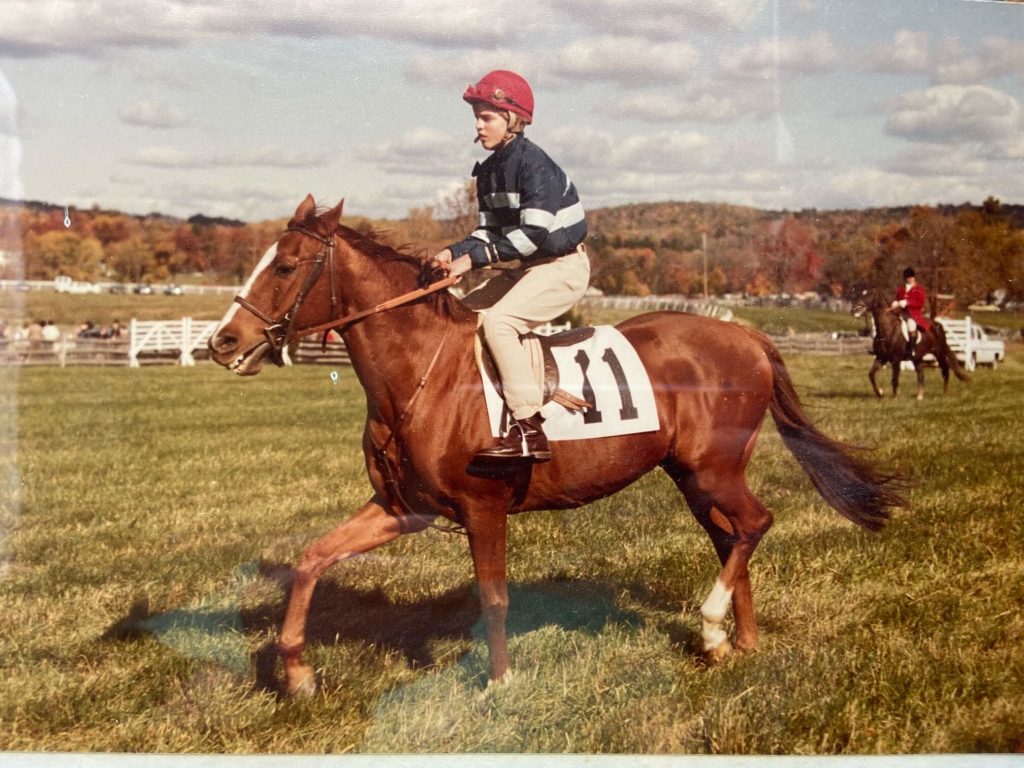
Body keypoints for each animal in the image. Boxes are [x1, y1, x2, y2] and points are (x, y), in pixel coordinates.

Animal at [208, 195, 906, 696]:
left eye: (286, 266)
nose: (222, 341)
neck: (423, 372)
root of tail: (750, 338)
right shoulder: (403, 508)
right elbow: (312, 559)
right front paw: (297, 672)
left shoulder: (482, 507)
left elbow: (493, 597)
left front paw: (500, 683)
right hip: (691, 476)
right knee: (731, 535)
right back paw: (741, 643)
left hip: (714, 470)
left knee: (755, 523)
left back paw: (712, 627)